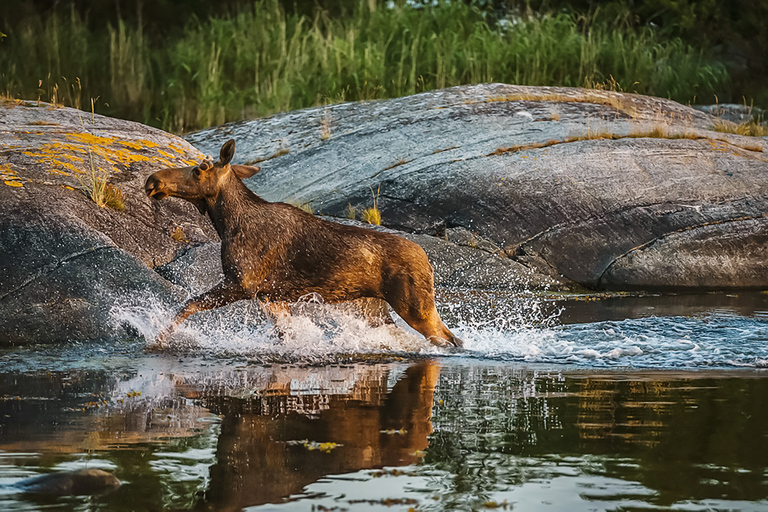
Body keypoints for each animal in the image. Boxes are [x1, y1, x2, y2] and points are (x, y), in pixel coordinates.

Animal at [145, 139, 462, 348]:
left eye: (199, 169)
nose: (153, 179)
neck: (227, 224)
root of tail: (428, 261)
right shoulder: (271, 296)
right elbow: (287, 336)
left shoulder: (242, 283)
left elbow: (187, 305)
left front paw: (158, 339)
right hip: (376, 309)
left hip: (415, 305)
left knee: (449, 339)